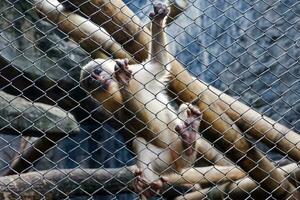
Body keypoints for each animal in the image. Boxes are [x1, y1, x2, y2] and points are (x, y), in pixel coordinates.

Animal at [81, 3, 203, 198]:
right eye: (91, 82)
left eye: (98, 72)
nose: (98, 81)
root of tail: (177, 166)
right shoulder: (110, 108)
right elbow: (144, 131)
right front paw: (123, 82)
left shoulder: (139, 74)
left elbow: (158, 63)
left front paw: (158, 19)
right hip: (164, 162)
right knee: (140, 142)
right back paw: (148, 187)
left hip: (179, 156)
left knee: (184, 111)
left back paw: (189, 137)